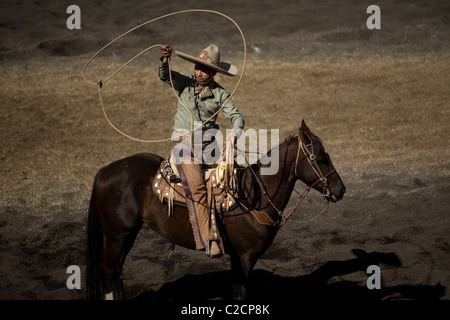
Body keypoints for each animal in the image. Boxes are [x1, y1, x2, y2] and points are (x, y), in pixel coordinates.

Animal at [86, 120, 346, 300]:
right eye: (320, 159)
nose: (340, 189)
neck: (254, 196)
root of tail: (105, 171)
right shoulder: (242, 257)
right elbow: (240, 294)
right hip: (116, 235)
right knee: (106, 271)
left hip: (128, 234)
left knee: (116, 270)